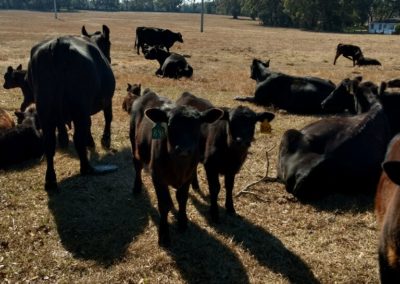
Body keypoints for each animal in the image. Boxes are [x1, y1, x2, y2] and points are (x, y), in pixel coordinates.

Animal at [27, 34, 115, 192]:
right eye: (108, 45)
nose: (109, 58)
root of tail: (59, 44)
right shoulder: (106, 100)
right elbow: (108, 118)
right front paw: (104, 139)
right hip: (79, 108)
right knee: (78, 139)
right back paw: (87, 168)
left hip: (45, 110)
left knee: (49, 144)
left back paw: (50, 180)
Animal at [131, 90, 223, 244]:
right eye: (170, 125)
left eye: (198, 125)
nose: (184, 149)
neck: (178, 166)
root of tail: (150, 93)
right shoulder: (157, 177)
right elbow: (163, 204)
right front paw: (164, 235)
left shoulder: (188, 177)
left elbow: (182, 198)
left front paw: (182, 222)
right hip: (134, 142)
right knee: (137, 166)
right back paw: (136, 187)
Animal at [176, 92, 276, 221]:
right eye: (231, 121)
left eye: (253, 123)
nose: (242, 141)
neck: (230, 155)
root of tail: (188, 95)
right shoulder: (210, 166)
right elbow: (215, 188)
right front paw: (214, 213)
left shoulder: (232, 169)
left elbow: (229, 187)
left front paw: (230, 208)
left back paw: (196, 186)